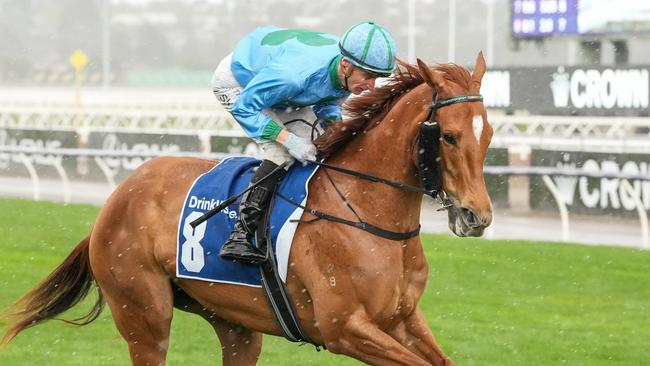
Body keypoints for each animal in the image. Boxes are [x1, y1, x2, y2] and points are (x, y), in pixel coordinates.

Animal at [1, 52, 492, 366]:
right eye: (449, 136)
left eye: (487, 134)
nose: (478, 217)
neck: (367, 213)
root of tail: (116, 197)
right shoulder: (344, 327)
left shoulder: (401, 318)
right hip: (144, 314)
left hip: (233, 322)